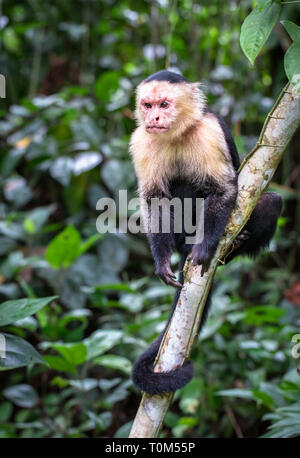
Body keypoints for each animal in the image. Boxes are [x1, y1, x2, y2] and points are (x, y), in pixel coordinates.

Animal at [129, 70, 284, 396]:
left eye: (164, 104)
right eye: (148, 105)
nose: (154, 117)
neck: (177, 134)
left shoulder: (209, 131)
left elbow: (222, 190)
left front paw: (202, 251)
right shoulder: (140, 140)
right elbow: (155, 200)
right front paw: (163, 263)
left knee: (271, 202)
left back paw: (229, 246)